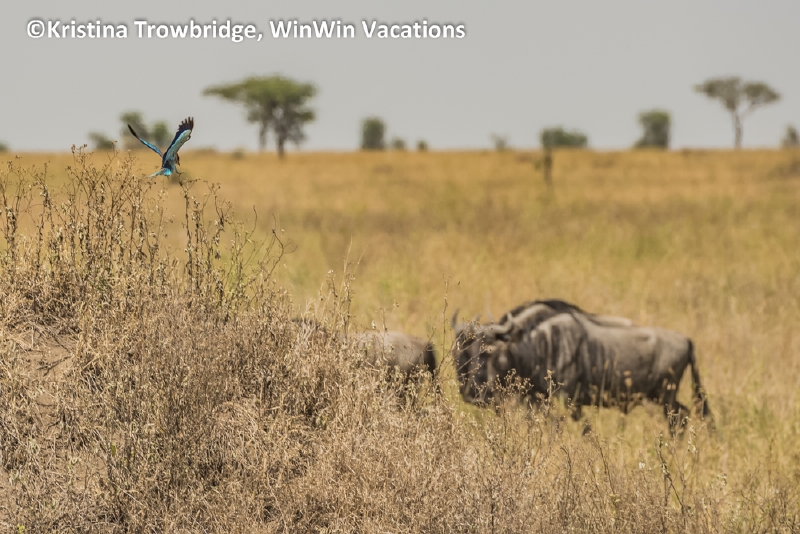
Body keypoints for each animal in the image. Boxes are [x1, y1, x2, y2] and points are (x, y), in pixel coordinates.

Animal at [452, 300, 711, 433]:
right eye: (457, 355)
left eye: (487, 352)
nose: (473, 395)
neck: (536, 346)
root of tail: (686, 340)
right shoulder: (537, 401)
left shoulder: (565, 400)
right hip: (661, 397)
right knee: (683, 416)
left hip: (665, 396)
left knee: (679, 417)